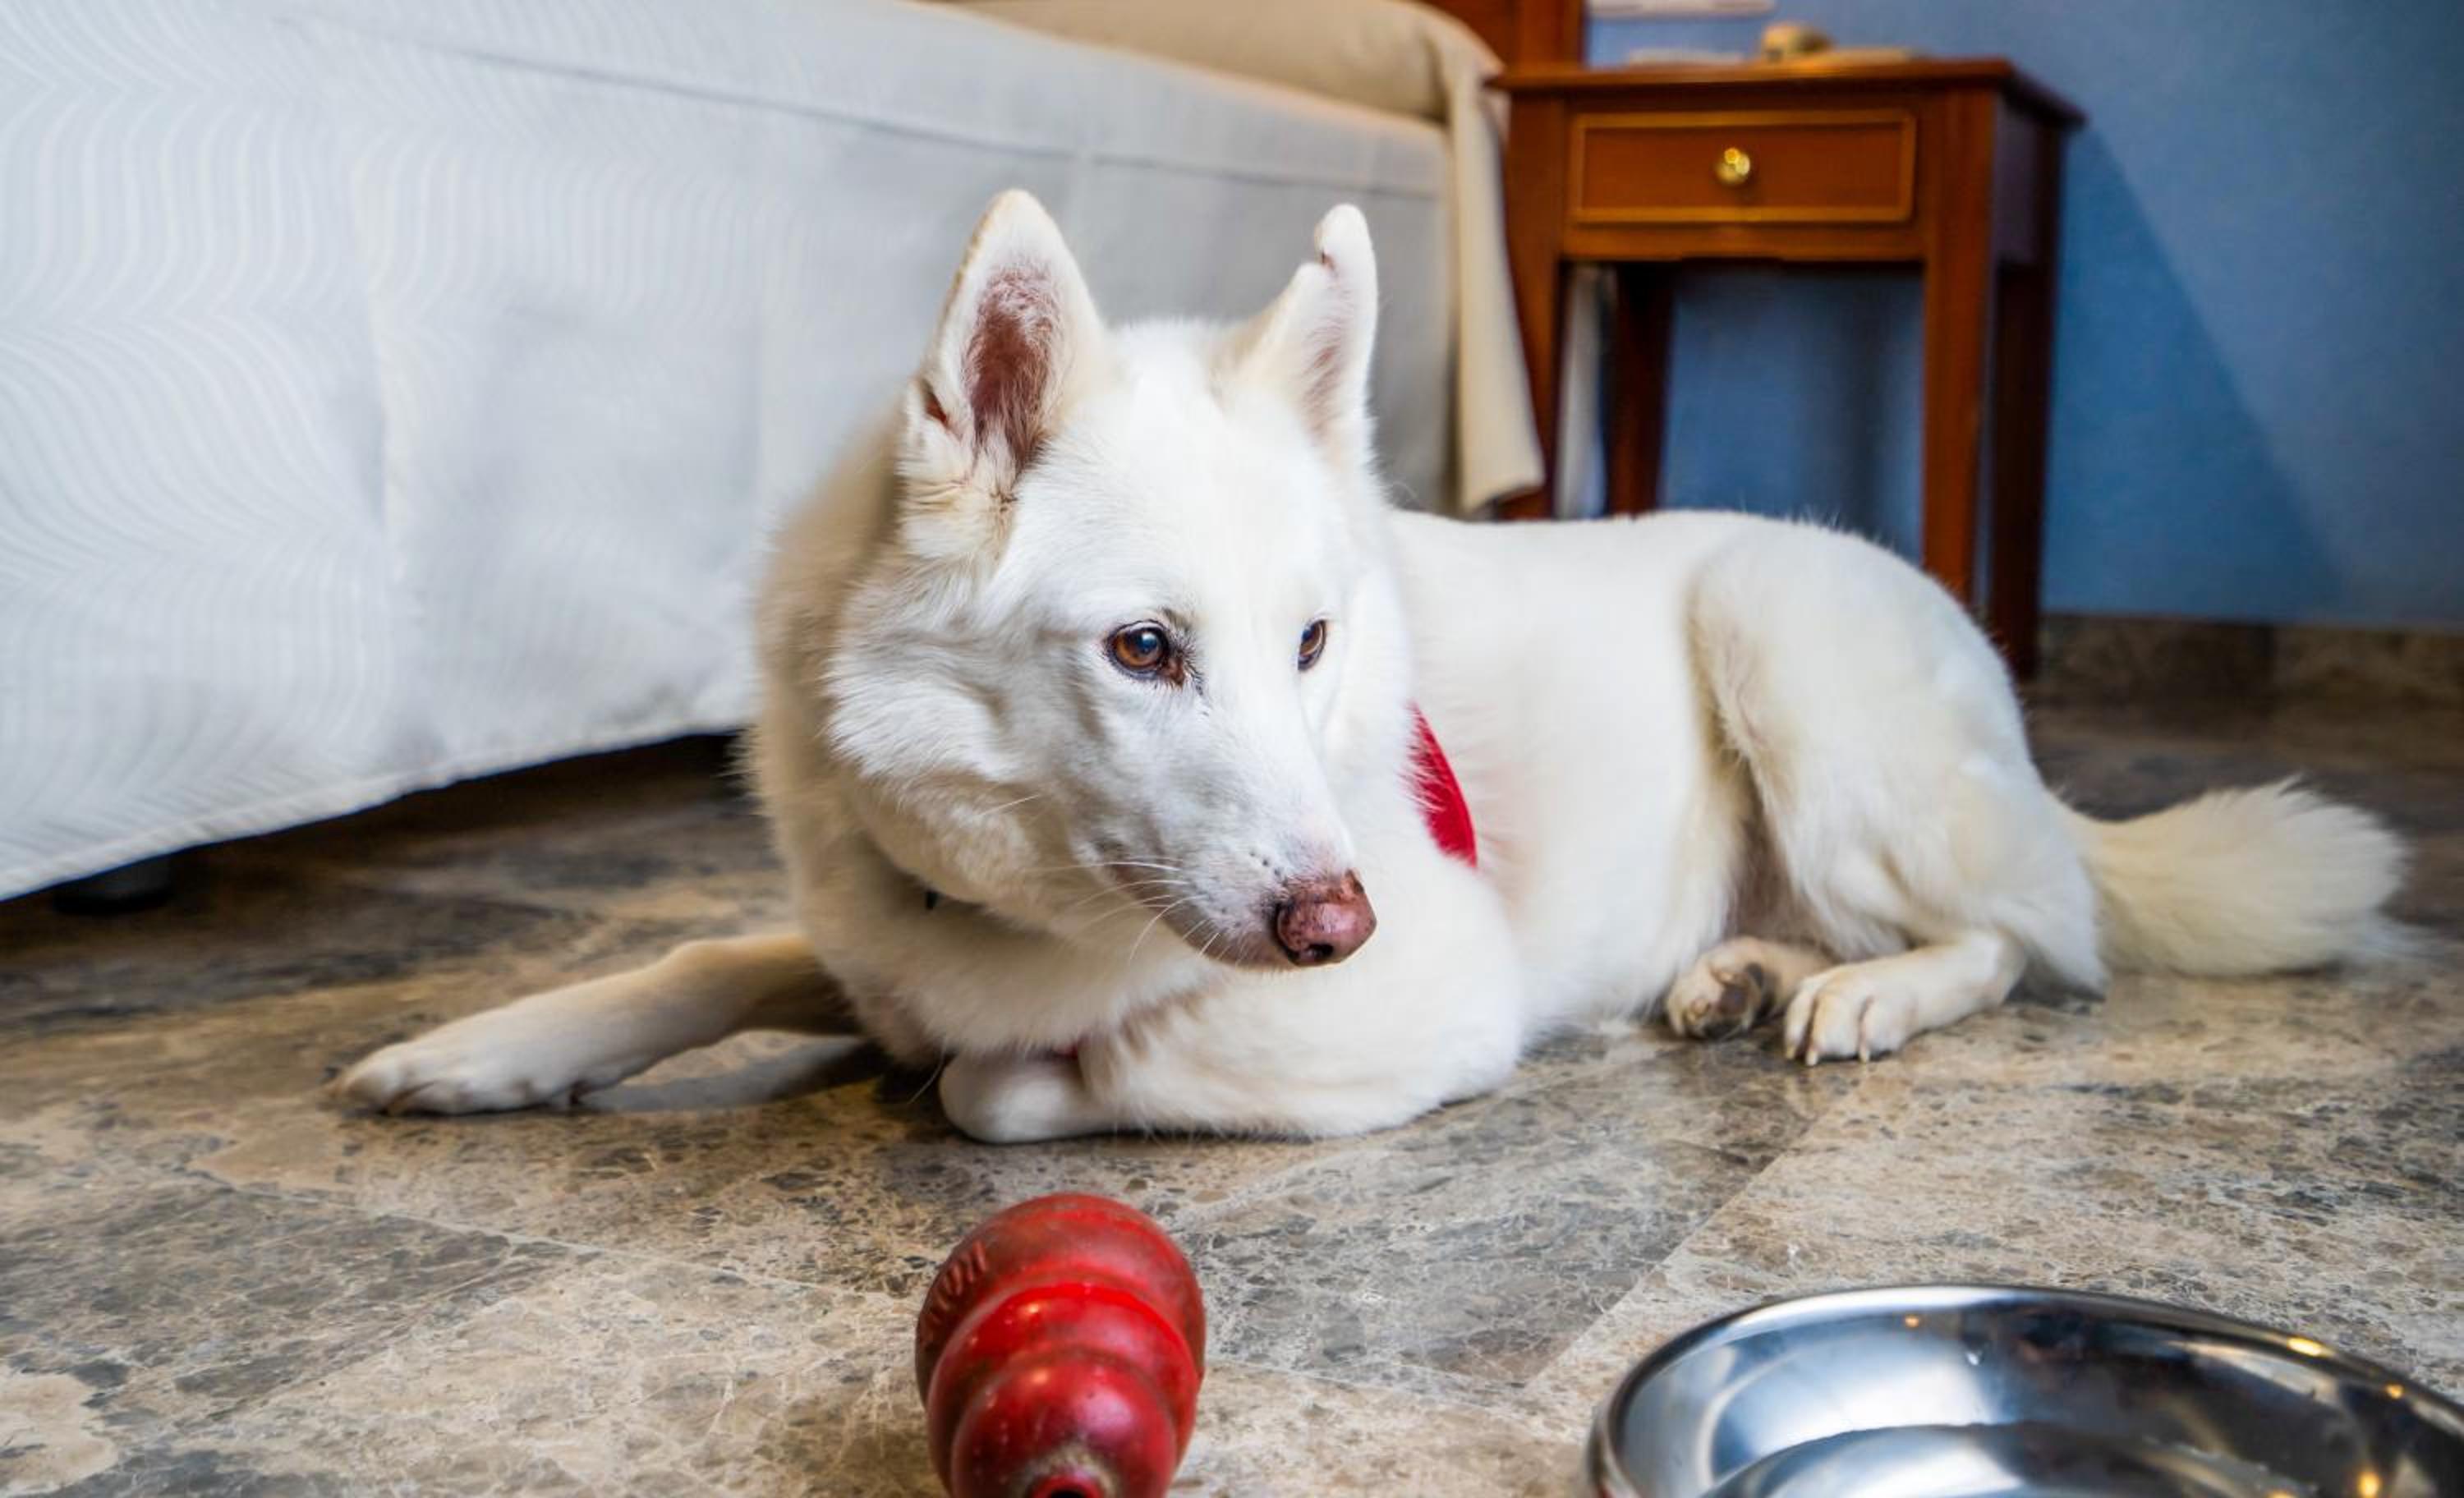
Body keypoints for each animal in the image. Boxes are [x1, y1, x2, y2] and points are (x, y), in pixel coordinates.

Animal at [334, 192, 2404, 1141]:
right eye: (1145, 649)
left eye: (1313, 642)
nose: (1340, 915)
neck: (993, 904)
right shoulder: (870, 927)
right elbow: (721, 952)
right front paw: (486, 1047)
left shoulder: (1411, 1011)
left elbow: (1010, 1077)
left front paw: (989, 1071)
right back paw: (1739, 972)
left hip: (1794, 659)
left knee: (2033, 939)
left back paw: (1868, 997)